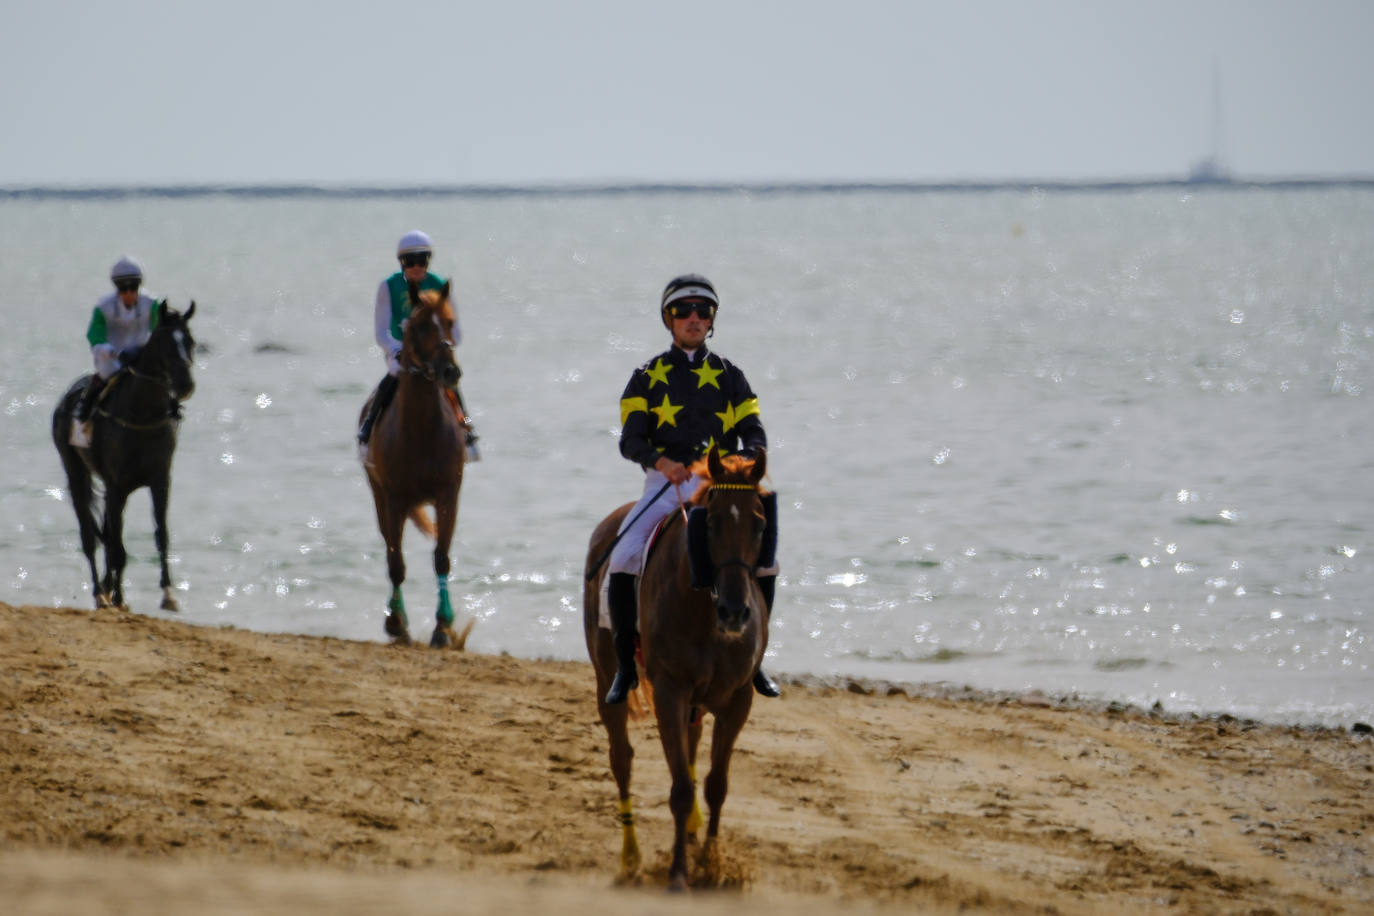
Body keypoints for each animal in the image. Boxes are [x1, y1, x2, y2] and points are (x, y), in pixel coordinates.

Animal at [359, 282, 472, 648]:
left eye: (450, 322)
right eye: (420, 326)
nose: (451, 371)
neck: (421, 430)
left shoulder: (449, 494)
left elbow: (441, 557)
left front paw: (443, 627)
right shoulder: (393, 499)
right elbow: (396, 563)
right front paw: (397, 624)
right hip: (379, 497)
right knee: (390, 551)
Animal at [582, 447, 774, 889]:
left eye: (759, 524)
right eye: (712, 523)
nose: (736, 612)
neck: (704, 606)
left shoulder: (737, 699)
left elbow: (716, 783)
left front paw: (711, 863)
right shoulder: (671, 692)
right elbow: (681, 790)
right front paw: (678, 874)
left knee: (690, 744)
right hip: (607, 680)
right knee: (622, 760)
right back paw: (631, 858)